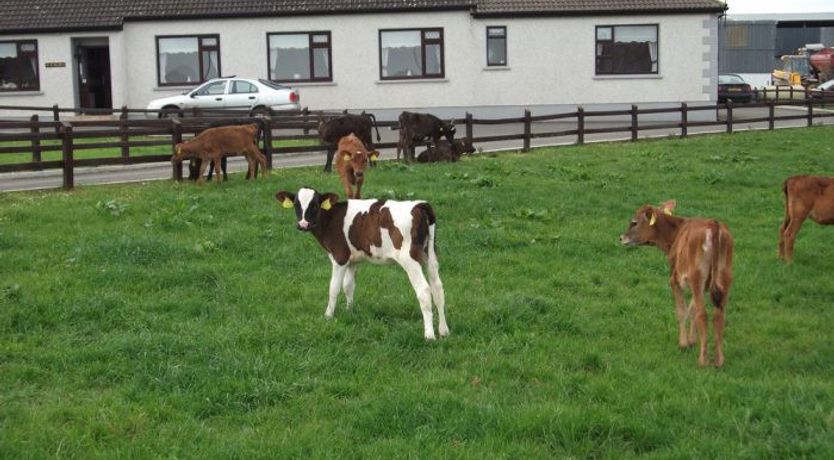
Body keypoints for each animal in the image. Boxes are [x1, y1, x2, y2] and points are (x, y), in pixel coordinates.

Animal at [276, 185, 448, 340]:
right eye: (297, 205)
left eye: (314, 205)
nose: (303, 224)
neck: (332, 218)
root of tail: (419, 204)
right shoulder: (352, 261)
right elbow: (348, 286)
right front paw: (349, 311)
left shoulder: (339, 257)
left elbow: (334, 288)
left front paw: (328, 316)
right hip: (431, 255)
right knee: (438, 288)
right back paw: (443, 331)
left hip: (410, 259)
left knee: (424, 290)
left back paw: (429, 335)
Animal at [620, 200, 732, 366]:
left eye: (634, 222)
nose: (621, 238)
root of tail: (713, 224)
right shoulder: (703, 286)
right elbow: (691, 309)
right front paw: (692, 341)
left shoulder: (674, 279)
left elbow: (682, 311)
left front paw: (683, 344)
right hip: (724, 277)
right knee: (719, 313)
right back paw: (719, 360)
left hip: (697, 277)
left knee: (703, 313)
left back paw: (703, 360)